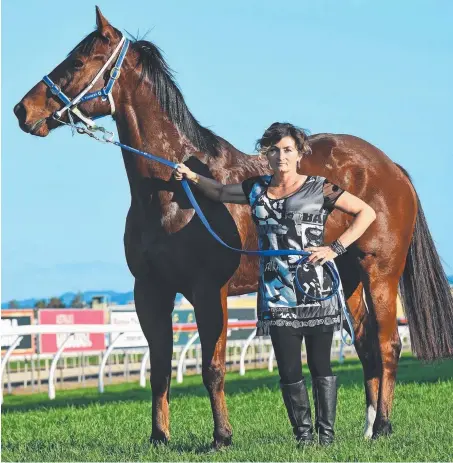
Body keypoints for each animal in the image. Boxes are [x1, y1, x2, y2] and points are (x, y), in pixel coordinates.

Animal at [14, 6, 452, 450]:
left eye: (77, 61)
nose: (22, 110)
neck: (173, 192)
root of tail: (390, 167)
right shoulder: (149, 290)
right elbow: (159, 370)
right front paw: (159, 437)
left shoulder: (209, 291)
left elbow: (213, 367)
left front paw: (222, 436)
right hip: (345, 278)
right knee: (365, 346)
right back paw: (365, 428)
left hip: (380, 272)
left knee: (387, 345)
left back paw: (382, 427)